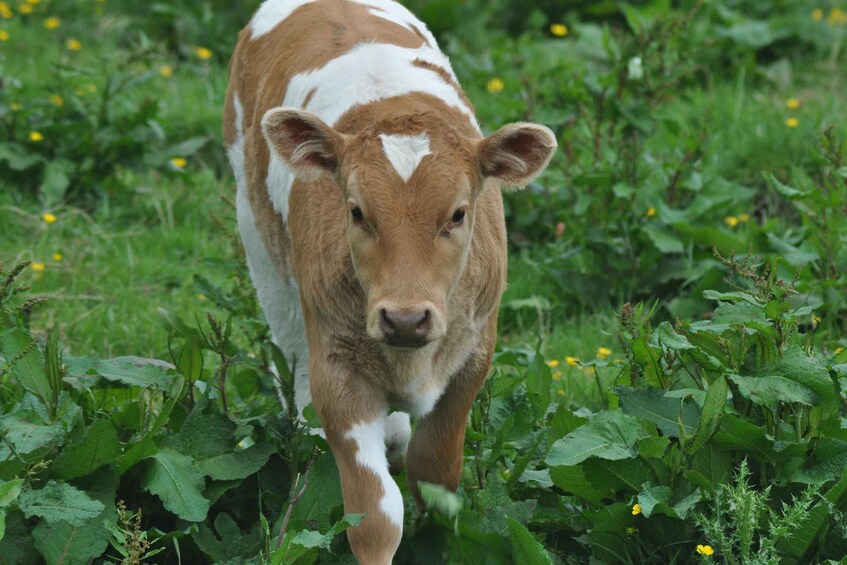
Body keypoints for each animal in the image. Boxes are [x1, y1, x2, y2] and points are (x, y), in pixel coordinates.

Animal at [224, 1, 557, 562]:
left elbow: (435, 471)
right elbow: (375, 514)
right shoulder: (337, 371)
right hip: (258, 243)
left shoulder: (474, 352)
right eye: (357, 212)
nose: (405, 318)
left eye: (458, 214)